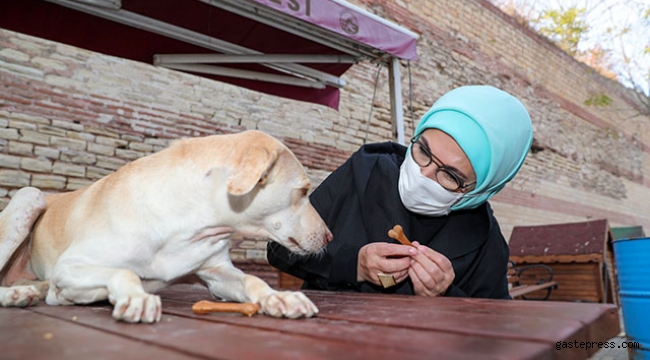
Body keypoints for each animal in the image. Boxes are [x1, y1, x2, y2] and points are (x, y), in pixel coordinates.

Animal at [0, 130, 330, 324]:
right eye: (304, 191)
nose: (330, 237)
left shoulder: (217, 273)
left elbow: (253, 280)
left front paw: (279, 297)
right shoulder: (70, 266)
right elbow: (126, 272)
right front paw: (135, 297)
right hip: (30, 195)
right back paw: (16, 295)